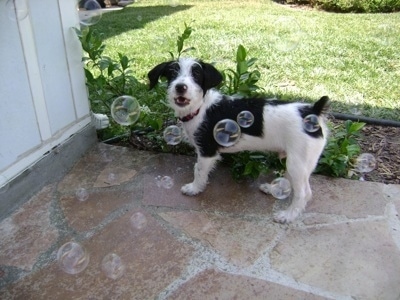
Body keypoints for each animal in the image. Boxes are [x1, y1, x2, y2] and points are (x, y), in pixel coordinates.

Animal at [148, 58, 330, 223]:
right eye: (172, 73)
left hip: (298, 161)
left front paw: (194, 188)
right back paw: (274, 188)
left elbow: (199, 170)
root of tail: (313, 111)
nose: (180, 87)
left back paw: (288, 215)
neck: (201, 107)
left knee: (304, 193)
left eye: (197, 74)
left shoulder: (207, 151)